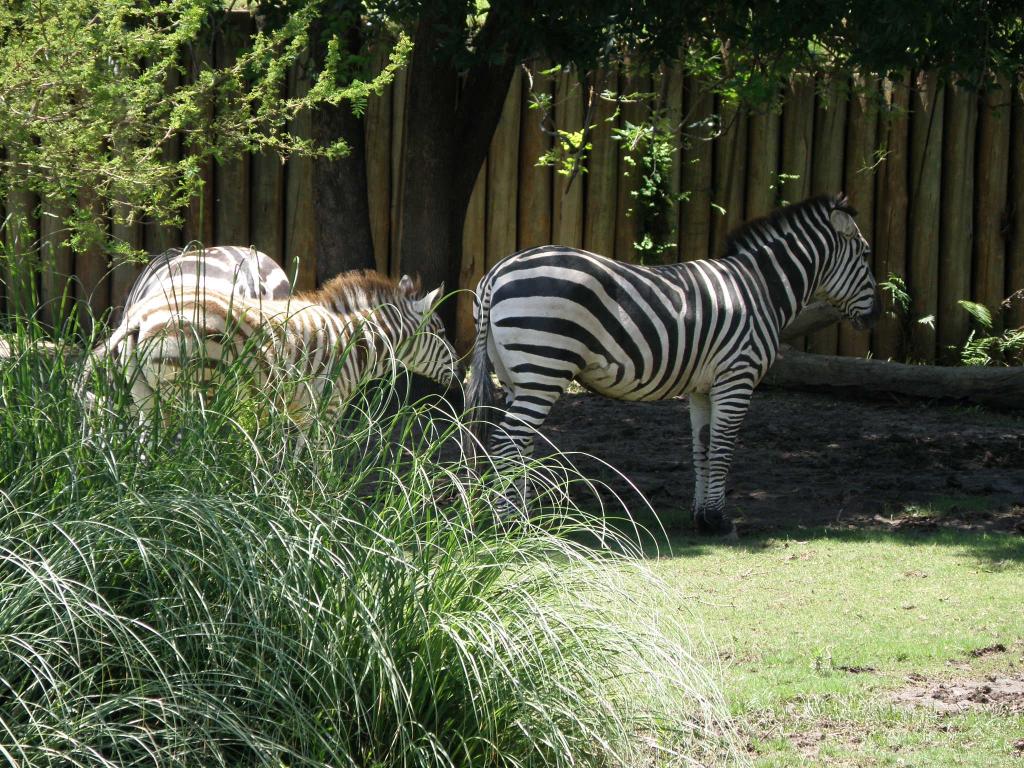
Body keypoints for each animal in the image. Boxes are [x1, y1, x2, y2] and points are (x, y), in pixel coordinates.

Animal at [468, 192, 884, 536]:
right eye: (865, 255)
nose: (878, 315)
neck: (761, 290)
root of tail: (498, 272)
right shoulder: (737, 375)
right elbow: (723, 447)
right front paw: (718, 520)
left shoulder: (703, 386)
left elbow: (703, 446)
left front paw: (701, 517)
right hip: (544, 367)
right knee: (507, 441)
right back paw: (506, 525)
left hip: (517, 375)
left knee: (518, 443)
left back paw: (520, 520)